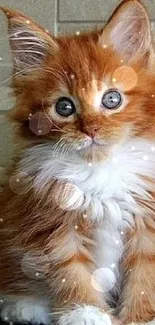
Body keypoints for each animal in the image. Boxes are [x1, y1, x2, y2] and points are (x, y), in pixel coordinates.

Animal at [0, 0, 155, 322]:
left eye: (112, 99)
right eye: (64, 107)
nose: (91, 129)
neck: (99, 170)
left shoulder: (146, 221)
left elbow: (144, 275)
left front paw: (141, 318)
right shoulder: (51, 223)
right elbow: (70, 273)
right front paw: (86, 313)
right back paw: (25, 306)